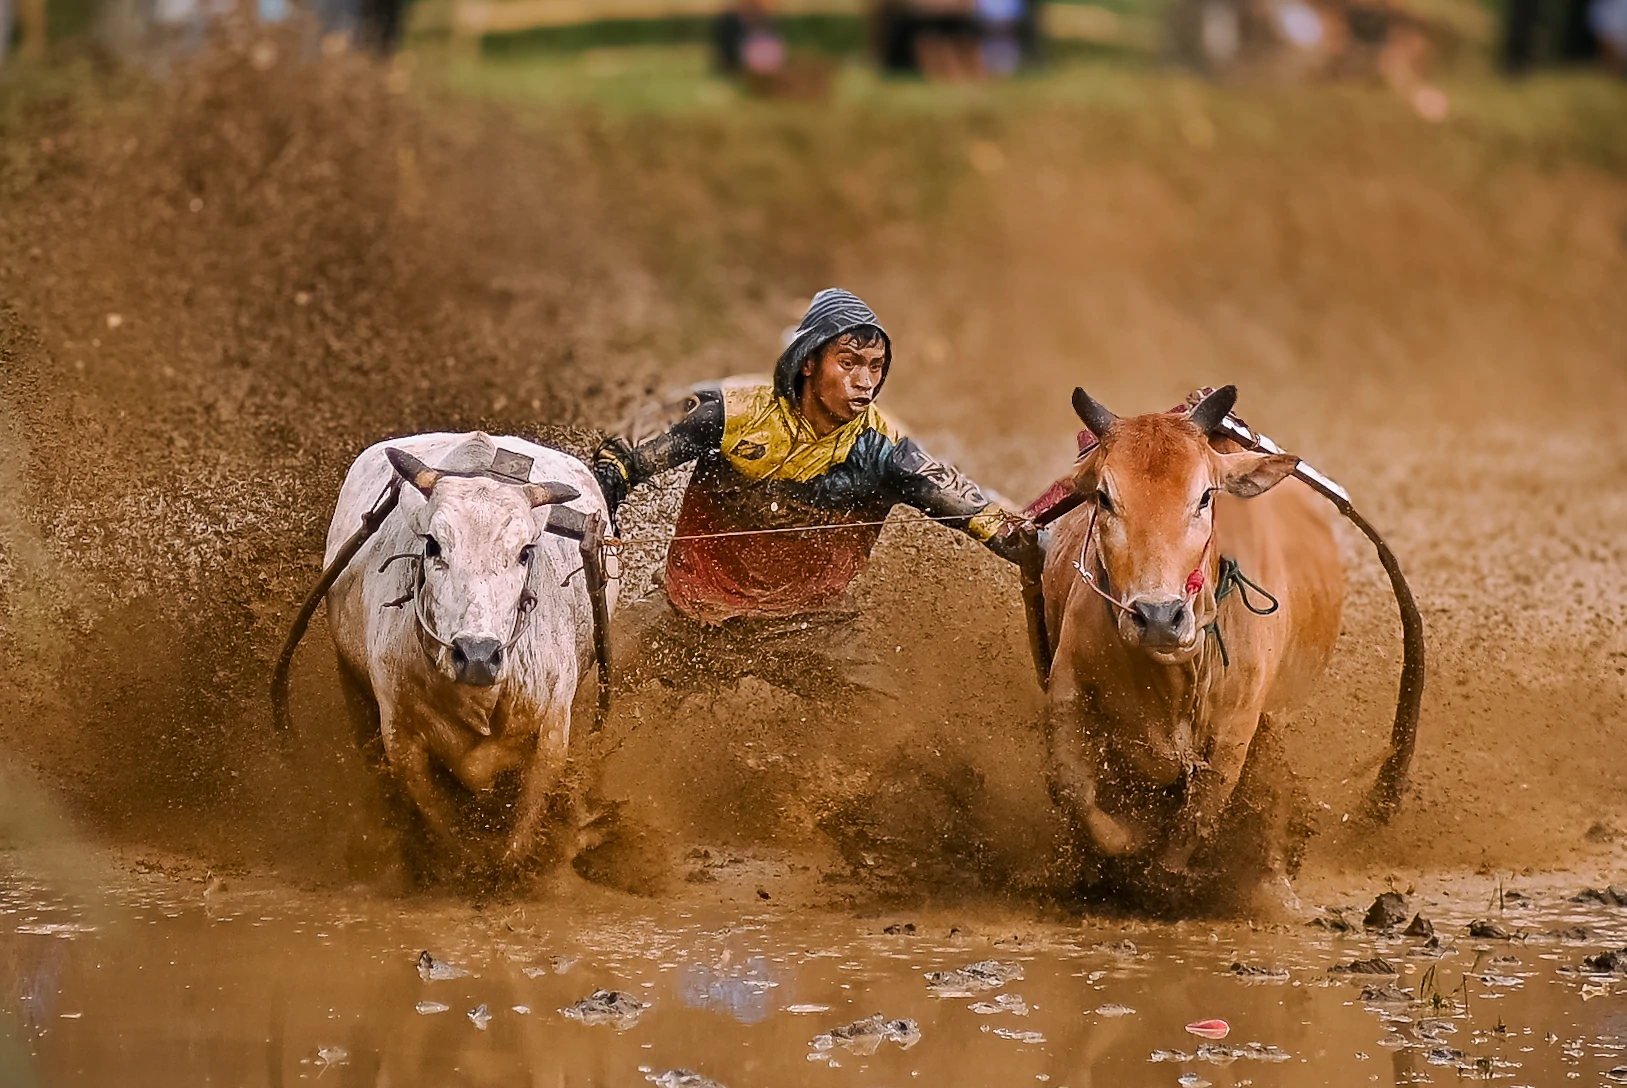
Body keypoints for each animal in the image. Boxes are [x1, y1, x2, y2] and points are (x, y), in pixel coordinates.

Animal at [323, 429, 615, 871]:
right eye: (433, 546)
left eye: (524, 552)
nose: (477, 655)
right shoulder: (401, 740)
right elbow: (444, 829)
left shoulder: (552, 734)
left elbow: (520, 837)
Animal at [1047, 385, 1340, 904]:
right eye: (1103, 497)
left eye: (1205, 496)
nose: (1159, 617)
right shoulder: (1066, 686)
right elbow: (1076, 790)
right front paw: (1127, 843)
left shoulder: (1236, 729)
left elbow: (1200, 814)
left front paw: (1162, 877)